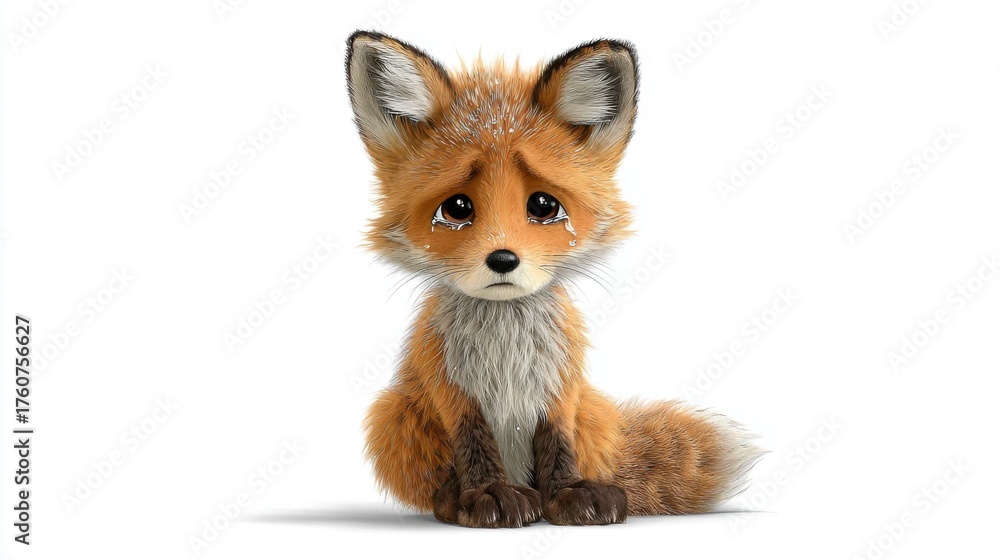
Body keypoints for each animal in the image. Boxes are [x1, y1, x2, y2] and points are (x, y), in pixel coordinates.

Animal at [346, 31, 763, 527]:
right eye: (457, 208)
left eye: (543, 206)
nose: (502, 259)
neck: (504, 340)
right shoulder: (449, 386)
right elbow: (474, 447)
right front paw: (487, 495)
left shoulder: (560, 384)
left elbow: (558, 446)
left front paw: (568, 494)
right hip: (393, 413)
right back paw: (454, 500)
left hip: (594, 411)